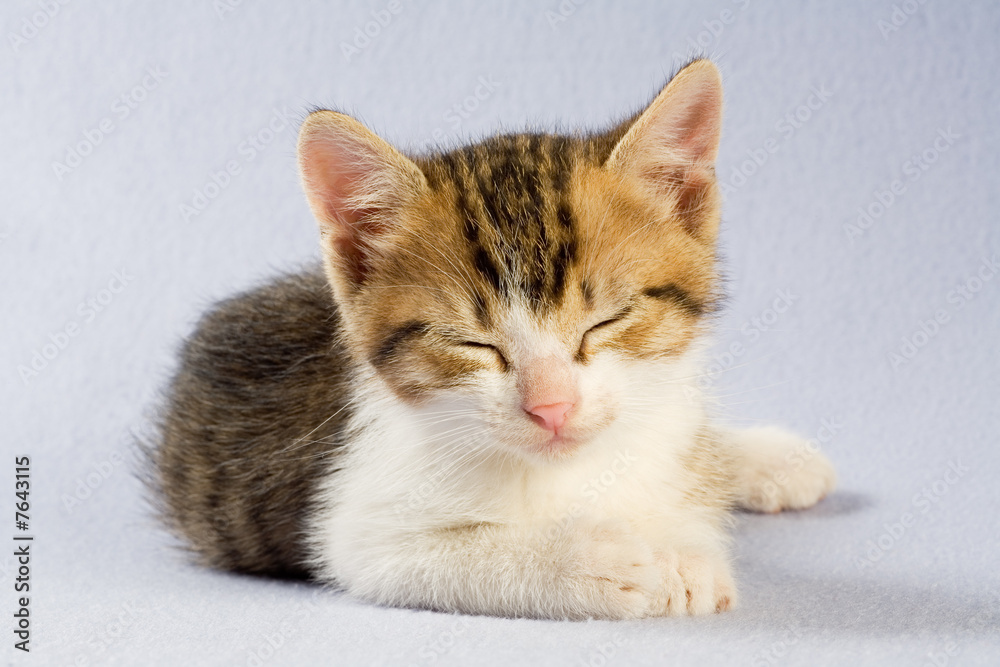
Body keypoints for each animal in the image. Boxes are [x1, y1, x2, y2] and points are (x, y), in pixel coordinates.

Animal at [150, 60, 836, 620]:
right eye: (471, 344)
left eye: (605, 321)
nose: (552, 408)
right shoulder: (357, 530)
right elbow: (450, 556)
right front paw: (603, 561)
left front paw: (689, 544)